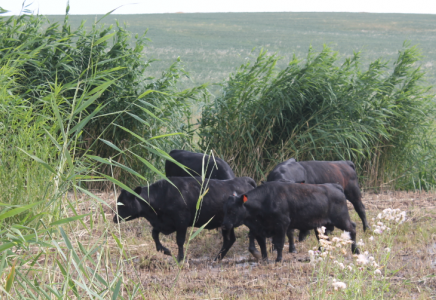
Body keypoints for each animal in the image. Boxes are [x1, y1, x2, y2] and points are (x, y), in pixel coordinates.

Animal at [113, 177, 255, 262]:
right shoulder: (163, 223)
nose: (114, 218)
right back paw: (217, 258)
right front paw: (164, 250)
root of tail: (244, 179)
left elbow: (180, 241)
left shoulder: (181, 221)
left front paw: (180, 258)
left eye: (123, 203)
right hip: (227, 224)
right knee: (229, 240)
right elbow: (154, 234)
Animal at [223, 182, 360, 262]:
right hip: (322, 224)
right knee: (323, 238)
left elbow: (279, 243)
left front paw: (278, 259)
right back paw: (320, 252)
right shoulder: (259, 229)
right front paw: (264, 259)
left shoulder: (282, 224)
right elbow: (262, 245)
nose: (224, 225)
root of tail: (335, 186)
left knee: (352, 228)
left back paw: (355, 250)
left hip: (341, 219)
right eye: (225, 209)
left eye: (232, 210)